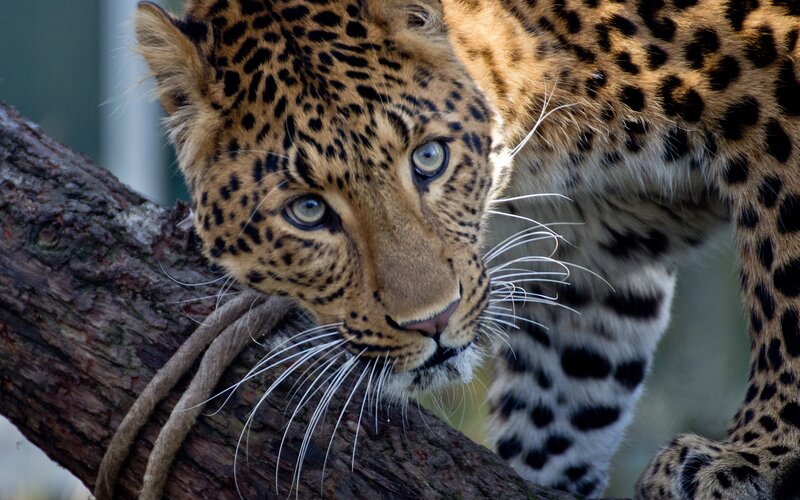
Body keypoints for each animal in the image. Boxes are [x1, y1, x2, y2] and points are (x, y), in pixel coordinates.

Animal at [135, 0, 800, 497]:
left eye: (429, 158)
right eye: (308, 210)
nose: (431, 322)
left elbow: (785, 293)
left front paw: (753, 460)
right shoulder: (600, 256)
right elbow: (568, 394)